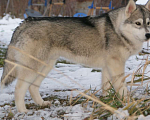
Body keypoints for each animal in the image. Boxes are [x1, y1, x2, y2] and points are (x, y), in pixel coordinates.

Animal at [0, 0, 150, 112]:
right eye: (138, 23)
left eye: (148, 23)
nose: (148, 35)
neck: (118, 30)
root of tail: (24, 23)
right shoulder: (116, 64)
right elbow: (122, 87)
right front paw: (128, 103)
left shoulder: (108, 66)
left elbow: (106, 87)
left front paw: (107, 102)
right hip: (33, 68)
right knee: (19, 88)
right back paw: (23, 111)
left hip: (46, 66)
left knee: (32, 86)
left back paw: (42, 104)